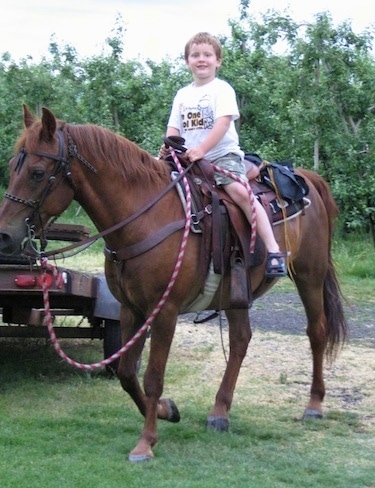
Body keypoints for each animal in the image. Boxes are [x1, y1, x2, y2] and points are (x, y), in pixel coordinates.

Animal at [0, 106, 348, 462]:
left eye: (38, 173)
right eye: (13, 167)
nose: (5, 236)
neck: (143, 218)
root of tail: (306, 179)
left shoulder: (164, 310)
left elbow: (153, 377)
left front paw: (146, 442)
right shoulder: (130, 309)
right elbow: (127, 372)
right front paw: (167, 410)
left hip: (309, 276)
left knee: (316, 332)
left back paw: (314, 404)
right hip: (237, 292)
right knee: (240, 340)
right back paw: (219, 412)